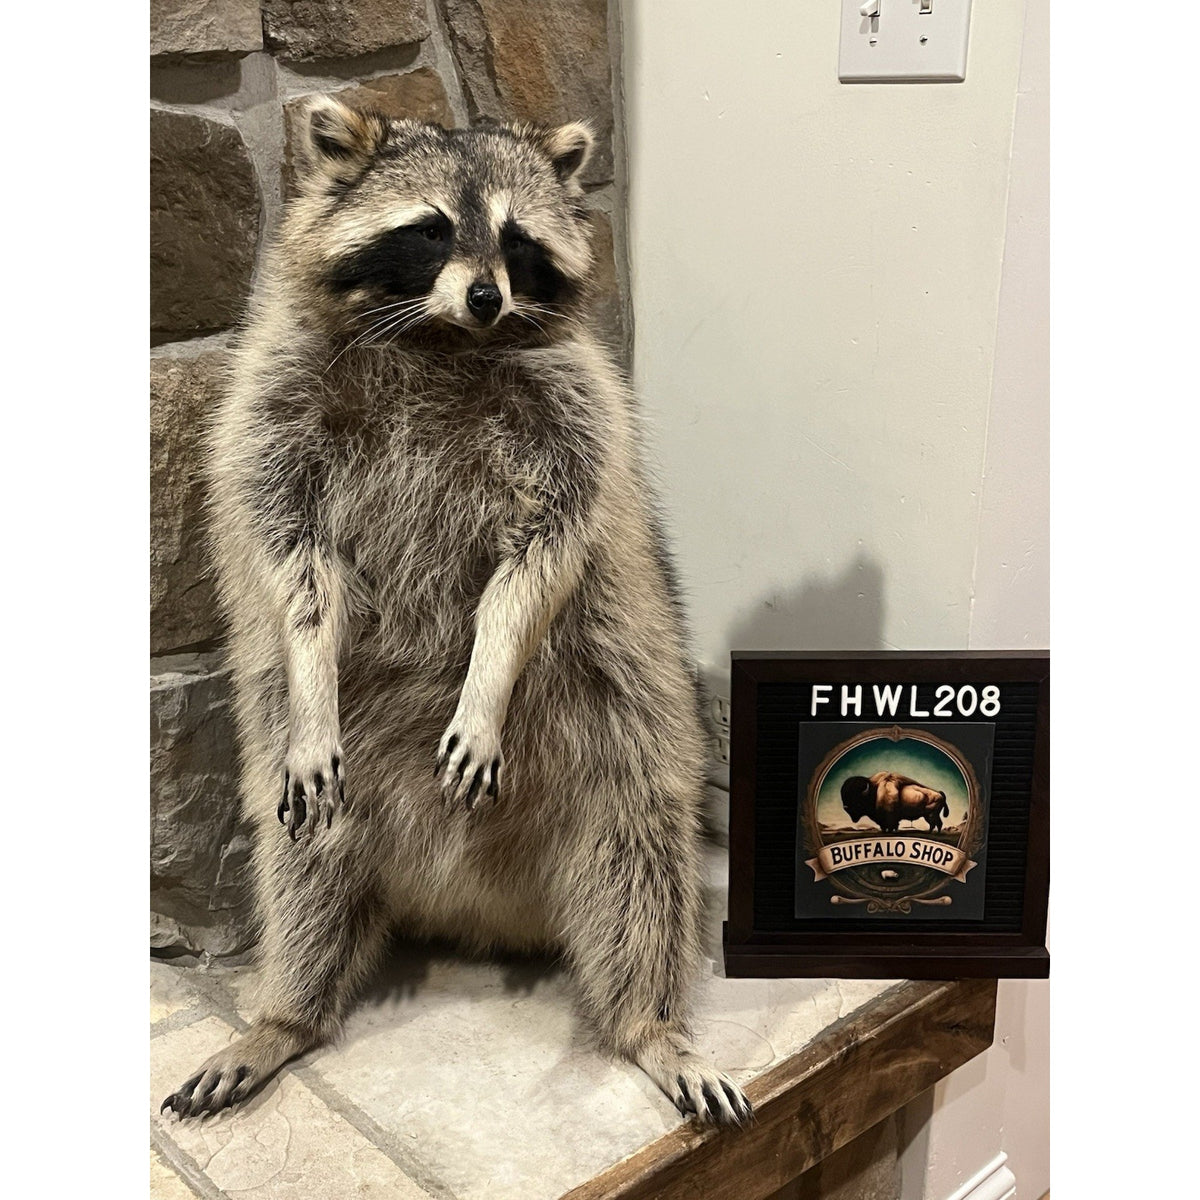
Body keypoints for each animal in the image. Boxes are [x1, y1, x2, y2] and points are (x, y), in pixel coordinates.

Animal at [160, 97, 751, 1127]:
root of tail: (475, 905)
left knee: (642, 854)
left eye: (516, 240)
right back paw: (288, 1011)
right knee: (304, 866)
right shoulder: (272, 403)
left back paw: (649, 1024)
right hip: (320, 783)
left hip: (626, 716)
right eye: (431, 229)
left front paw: (486, 673)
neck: (440, 340)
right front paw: (311, 665)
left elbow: (541, 561)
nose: (484, 297)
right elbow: (294, 562)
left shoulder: (577, 410)